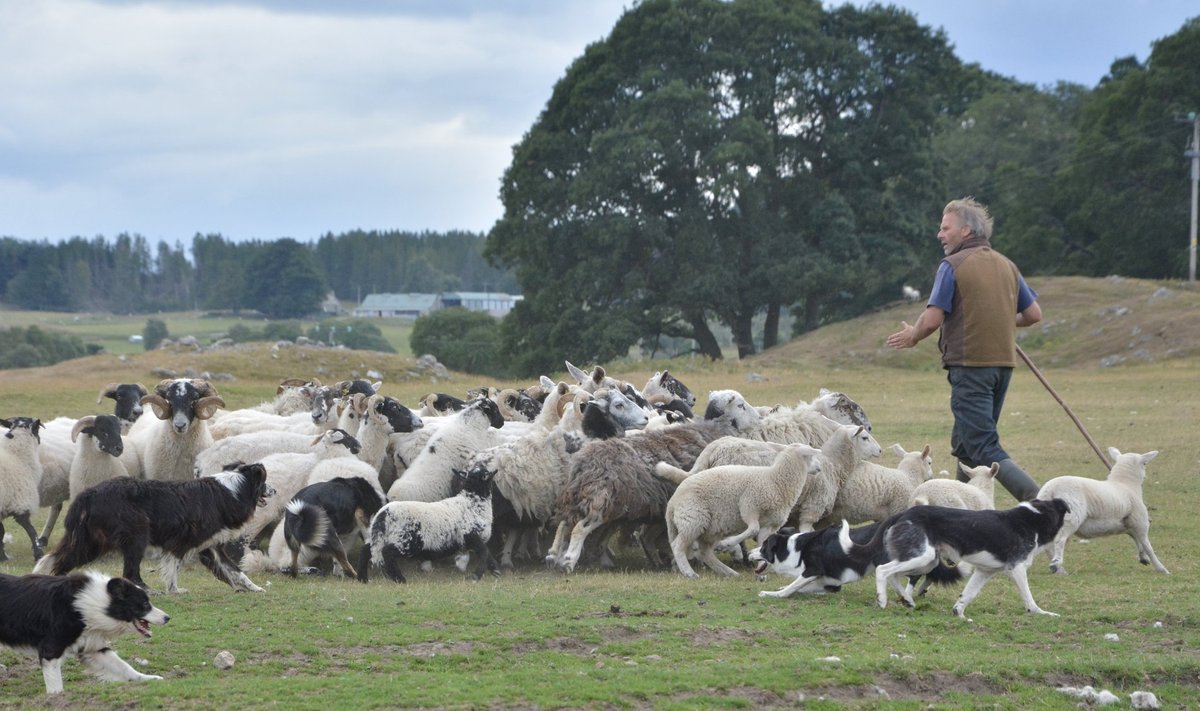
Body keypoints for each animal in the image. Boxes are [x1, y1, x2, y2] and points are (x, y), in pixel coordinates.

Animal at [544, 389, 758, 571]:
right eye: (740, 405)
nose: (758, 418)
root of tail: (587, 461)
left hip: (590, 498)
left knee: (565, 523)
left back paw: (556, 556)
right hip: (604, 500)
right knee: (580, 527)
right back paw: (569, 560)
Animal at [657, 444, 825, 576]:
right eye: (811, 456)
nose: (820, 468)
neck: (775, 480)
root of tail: (672, 503)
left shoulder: (769, 524)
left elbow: (762, 541)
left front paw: (761, 567)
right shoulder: (749, 505)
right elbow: (752, 529)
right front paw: (727, 544)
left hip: (709, 529)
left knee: (705, 553)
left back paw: (729, 572)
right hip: (693, 519)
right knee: (678, 546)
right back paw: (689, 572)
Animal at [1036, 449, 1166, 576]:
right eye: (1145, 463)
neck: (1125, 485)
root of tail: (1050, 489)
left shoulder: (1129, 525)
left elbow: (1138, 541)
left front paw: (1143, 558)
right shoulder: (1140, 522)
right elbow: (1148, 546)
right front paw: (1161, 568)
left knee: (1047, 546)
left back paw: (1060, 570)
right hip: (1071, 518)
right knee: (1059, 540)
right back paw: (1056, 564)